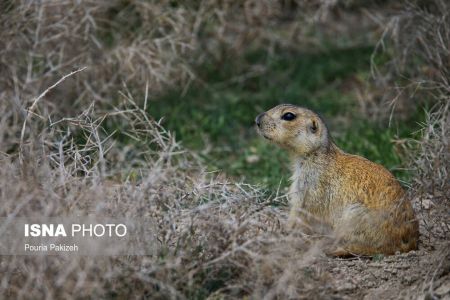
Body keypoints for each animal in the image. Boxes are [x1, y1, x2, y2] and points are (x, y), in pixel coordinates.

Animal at [255, 103, 420, 255]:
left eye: (289, 116)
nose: (257, 119)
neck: (316, 154)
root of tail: (409, 244)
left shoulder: (309, 183)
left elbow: (300, 210)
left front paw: (285, 231)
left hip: (355, 218)